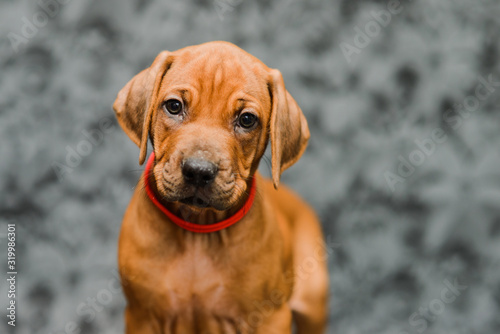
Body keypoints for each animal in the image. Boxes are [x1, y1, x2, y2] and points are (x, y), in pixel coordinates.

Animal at [115, 42, 330, 334]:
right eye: (174, 106)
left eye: (247, 119)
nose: (198, 171)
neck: (199, 231)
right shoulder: (142, 317)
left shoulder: (271, 318)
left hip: (313, 302)